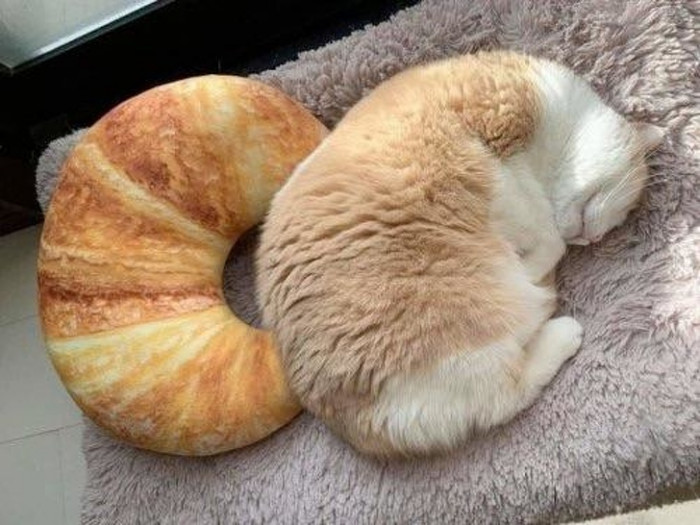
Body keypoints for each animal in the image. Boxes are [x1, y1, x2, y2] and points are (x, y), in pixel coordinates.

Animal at [256, 51, 660, 456]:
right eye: (618, 212)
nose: (592, 240)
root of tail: (360, 427)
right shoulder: (495, 163)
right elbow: (543, 229)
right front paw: (538, 255)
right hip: (471, 339)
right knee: (505, 395)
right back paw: (559, 322)